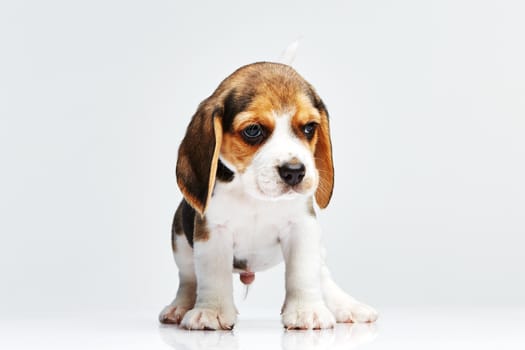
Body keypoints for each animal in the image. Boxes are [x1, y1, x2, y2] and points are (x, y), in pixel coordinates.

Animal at [160, 61, 376, 330]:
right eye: (253, 130)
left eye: (309, 128)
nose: (294, 172)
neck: (257, 198)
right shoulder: (212, 231)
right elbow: (213, 275)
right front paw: (212, 311)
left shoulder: (302, 227)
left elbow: (303, 272)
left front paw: (306, 311)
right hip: (180, 237)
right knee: (188, 278)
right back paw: (179, 307)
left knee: (322, 274)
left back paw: (347, 305)